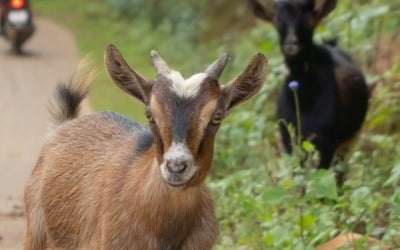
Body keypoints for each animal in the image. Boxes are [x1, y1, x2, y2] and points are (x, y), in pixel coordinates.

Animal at [250, 0, 368, 169]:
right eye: (277, 20)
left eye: (309, 20)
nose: (291, 45)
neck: (305, 101)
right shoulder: (289, 142)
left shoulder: (325, 143)